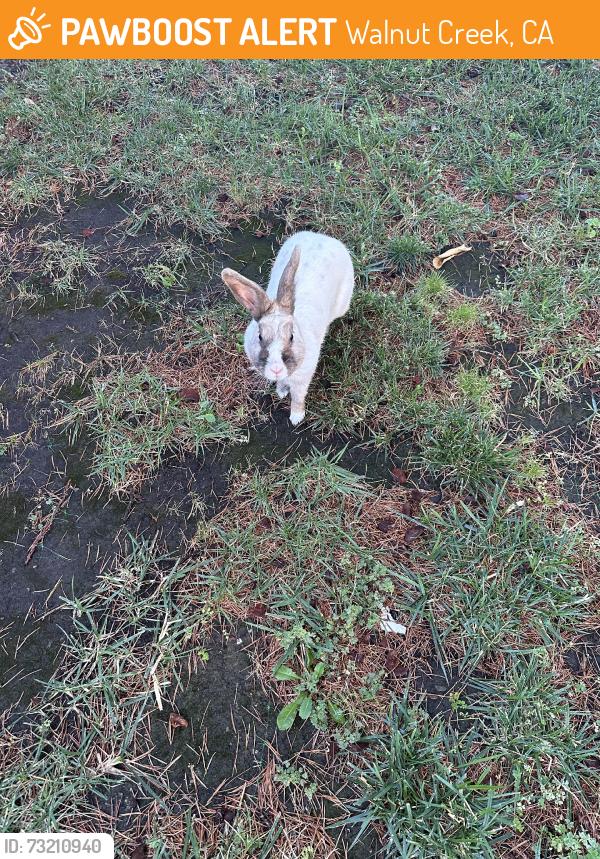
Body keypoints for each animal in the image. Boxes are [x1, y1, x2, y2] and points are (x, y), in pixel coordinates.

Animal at [221, 231, 354, 425]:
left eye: (292, 336)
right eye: (260, 336)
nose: (276, 368)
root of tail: (321, 237)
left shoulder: (302, 379)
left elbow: (298, 398)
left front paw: (296, 417)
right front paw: (281, 391)